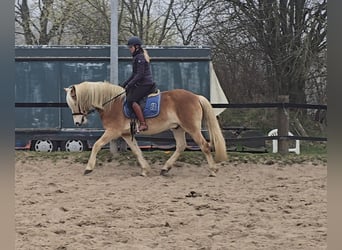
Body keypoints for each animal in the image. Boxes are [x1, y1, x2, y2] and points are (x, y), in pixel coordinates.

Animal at [65, 81, 228, 177]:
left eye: (75, 103)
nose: (78, 122)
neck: (111, 103)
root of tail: (195, 96)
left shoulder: (113, 131)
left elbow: (97, 145)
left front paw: (88, 168)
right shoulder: (125, 134)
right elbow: (137, 151)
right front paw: (145, 169)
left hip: (191, 128)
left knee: (204, 145)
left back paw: (213, 170)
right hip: (178, 128)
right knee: (181, 146)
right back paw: (165, 168)